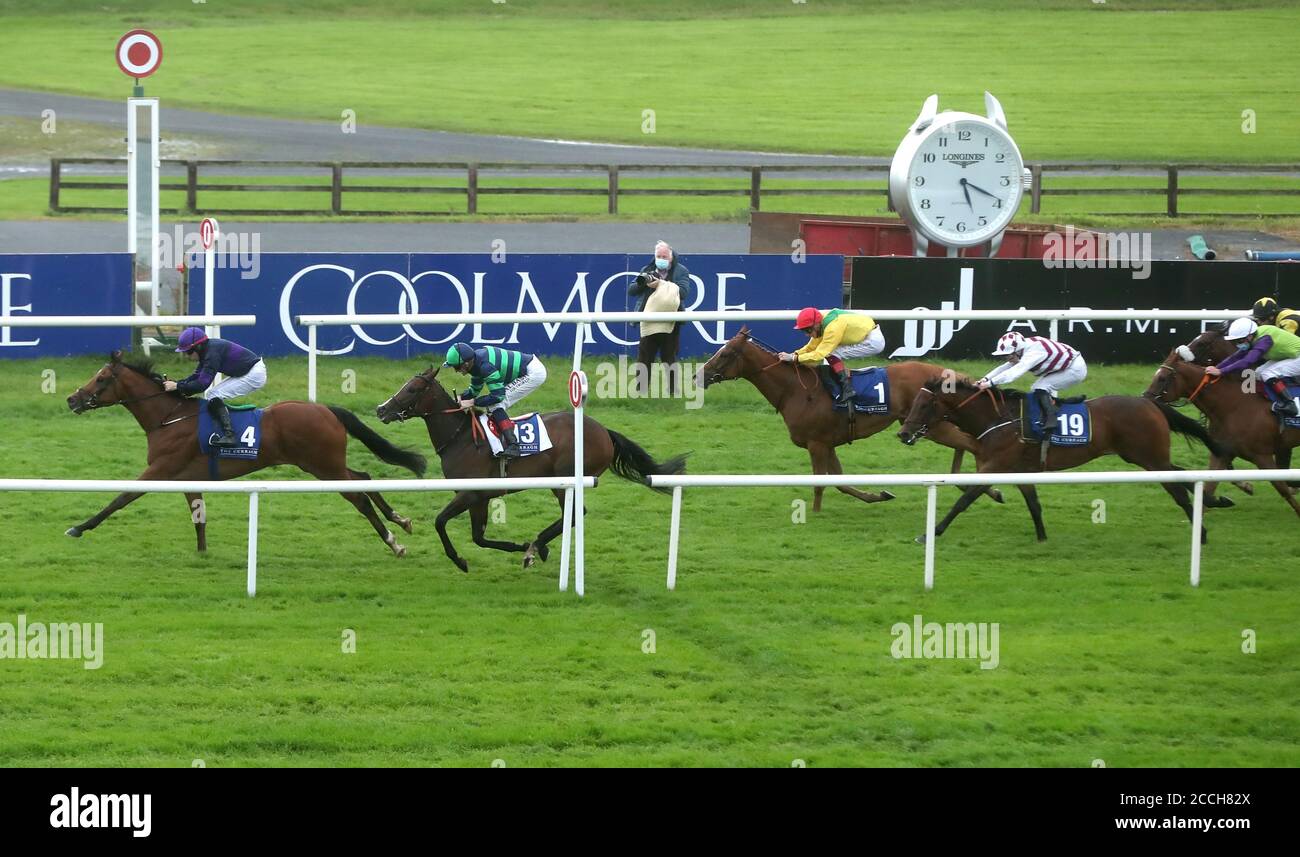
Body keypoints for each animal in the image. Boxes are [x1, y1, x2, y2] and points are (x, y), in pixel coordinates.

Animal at [67, 351, 426, 556]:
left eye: (101, 378)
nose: (72, 399)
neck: (168, 417)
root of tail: (326, 409)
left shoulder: (160, 470)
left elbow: (121, 497)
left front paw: (79, 527)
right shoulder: (186, 477)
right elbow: (198, 515)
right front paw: (202, 554)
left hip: (323, 466)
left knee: (359, 498)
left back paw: (394, 542)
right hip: (327, 464)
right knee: (363, 477)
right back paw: (401, 520)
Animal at [374, 366, 686, 572]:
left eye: (413, 389)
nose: (381, 409)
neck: (461, 437)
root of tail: (604, 432)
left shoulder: (470, 493)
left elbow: (440, 522)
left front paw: (461, 560)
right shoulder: (480, 498)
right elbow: (479, 538)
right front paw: (521, 546)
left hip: (566, 479)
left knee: (575, 514)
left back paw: (537, 546)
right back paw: (536, 546)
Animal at [702, 322, 1003, 509]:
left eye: (726, 353)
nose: (700, 375)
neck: (795, 390)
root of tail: (944, 372)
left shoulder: (816, 444)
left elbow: (821, 483)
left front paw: (814, 513)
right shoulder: (827, 443)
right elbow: (841, 483)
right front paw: (879, 494)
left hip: (932, 425)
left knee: (973, 444)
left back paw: (989, 487)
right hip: (935, 424)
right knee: (967, 444)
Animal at [894, 382, 1216, 543]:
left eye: (925, 404)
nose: (903, 433)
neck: (997, 419)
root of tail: (1150, 403)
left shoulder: (994, 467)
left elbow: (964, 500)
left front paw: (931, 533)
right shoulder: (1019, 471)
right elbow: (1034, 504)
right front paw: (1042, 538)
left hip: (1148, 457)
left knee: (1177, 490)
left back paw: (1201, 532)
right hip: (1145, 456)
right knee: (1182, 475)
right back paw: (1217, 501)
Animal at [1149, 345, 1300, 520]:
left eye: (1162, 378)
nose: (1145, 398)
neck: (1234, 406)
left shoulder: (1262, 456)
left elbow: (1282, 487)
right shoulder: (1223, 453)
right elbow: (1208, 488)